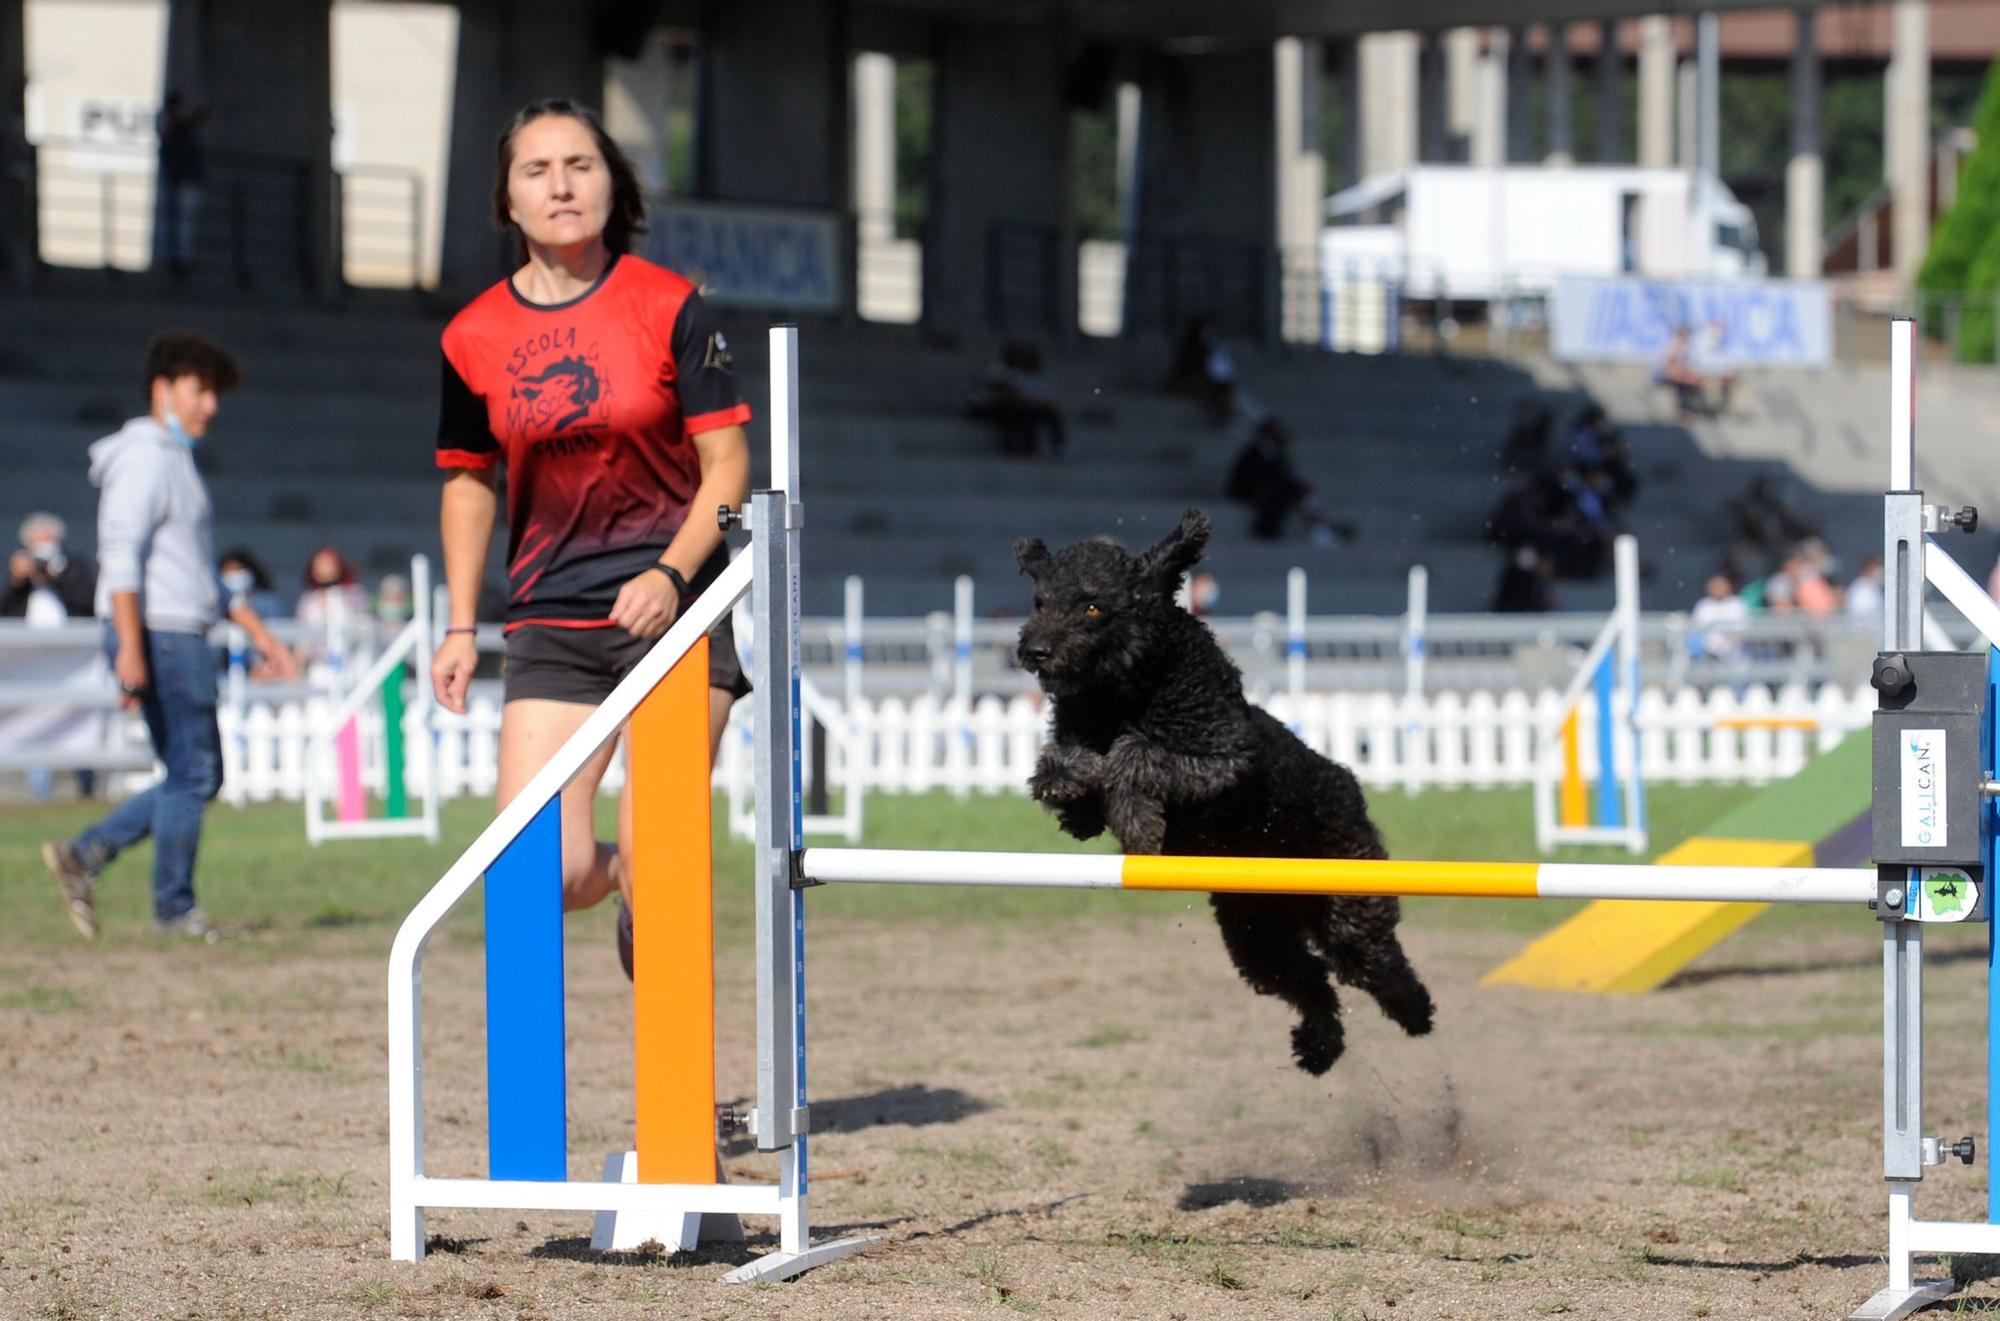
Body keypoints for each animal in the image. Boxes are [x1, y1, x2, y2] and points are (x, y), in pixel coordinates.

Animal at [1024, 506, 1432, 1072]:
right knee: (1310, 981)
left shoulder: (1222, 763)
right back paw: (1319, 1047)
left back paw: (1415, 1012)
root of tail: (1345, 780)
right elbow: (1064, 763)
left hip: (1349, 901)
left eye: (1091, 604)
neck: (1130, 691)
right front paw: (1074, 798)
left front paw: (1138, 823)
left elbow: (1135, 753)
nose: (1034, 651)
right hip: (1256, 930)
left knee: (1375, 961)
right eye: (1040, 601)